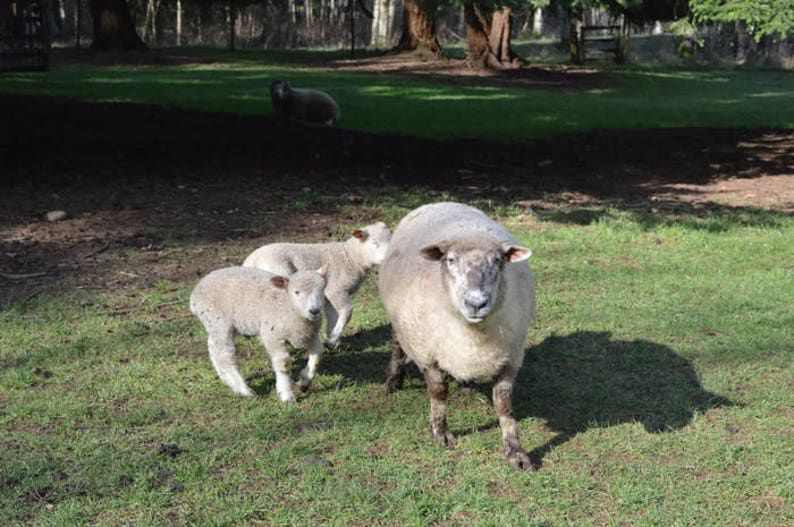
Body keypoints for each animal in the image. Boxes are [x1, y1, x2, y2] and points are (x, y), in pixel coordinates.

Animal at [190, 266, 326, 402]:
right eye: (297, 292)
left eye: (322, 289)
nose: (314, 311)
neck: (287, 304)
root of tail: (195, 294)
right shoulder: (271, 335)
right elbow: (283, 362)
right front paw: (286, 394)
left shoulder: (310, 335)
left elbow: (318, 354)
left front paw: (304, 383)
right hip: (219, 322)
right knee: (224, 357)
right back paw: (243, 389)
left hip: (219, 325)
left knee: (214, 350)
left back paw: (226, 379)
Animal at [241, 221, 390, 348]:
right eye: (374, 242)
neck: (351, 258)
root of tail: (250, 262)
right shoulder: (336, 289)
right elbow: (347, 311)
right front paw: (333, 338)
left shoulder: (329, 295)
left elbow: (333, 315)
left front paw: (332, 339)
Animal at [376, 202, 536, 470]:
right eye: (450, 260)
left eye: (498, 260)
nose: (475, 303)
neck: (473, 332)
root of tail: (441, 202)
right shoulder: (427, 353)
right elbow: (439, 392)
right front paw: (441, 433)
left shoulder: (511, 357)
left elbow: (504, 405)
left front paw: (515, 451)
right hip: (403, 324)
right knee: (397, 343)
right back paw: (394, 380)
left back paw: (466, 384)